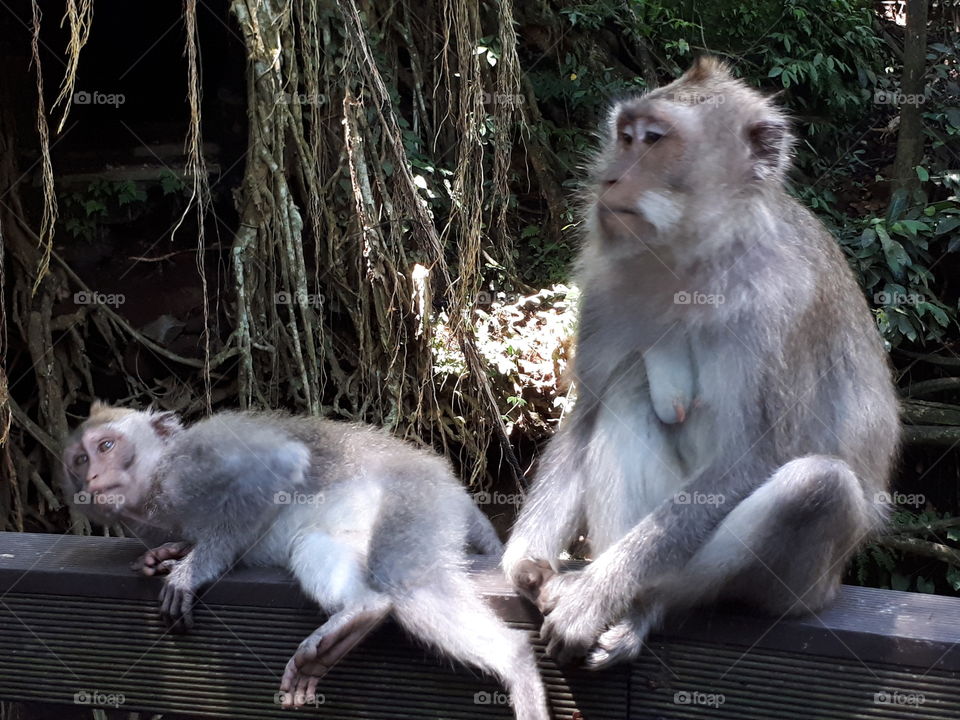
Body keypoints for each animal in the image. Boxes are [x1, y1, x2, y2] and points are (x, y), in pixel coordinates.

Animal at [62, 402, 551, 720]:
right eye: (80, 458)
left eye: (107, 445)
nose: (91, 477)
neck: (155, 487)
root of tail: (452, 486)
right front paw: (172, 552)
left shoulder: (196, 460)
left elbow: (278, 467)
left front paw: (193, 568)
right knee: (315, 543)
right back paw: (360, 612)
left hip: (417, 498)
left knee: (404, 577)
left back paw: (513, 660)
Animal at [502, 56, 901, 670]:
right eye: (625, 136)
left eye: (655, 140)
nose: (610, 177)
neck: (691, 260)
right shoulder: (605, 292)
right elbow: (588, 414)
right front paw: (524, 560)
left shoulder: (781, 307)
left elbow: (754, 458)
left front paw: (596, 598)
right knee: (627, 388)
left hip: (805, 589)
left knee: (818, 485)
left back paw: (640, 606)